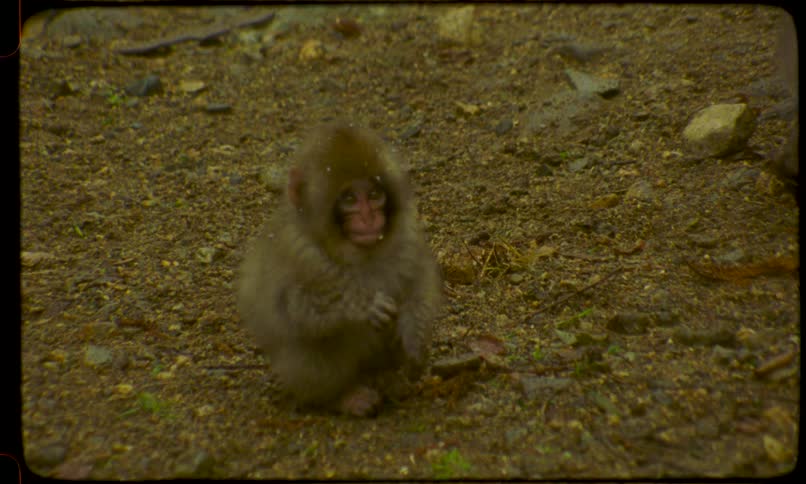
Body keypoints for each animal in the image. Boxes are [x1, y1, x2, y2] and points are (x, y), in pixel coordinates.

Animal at [236, 123, 443, 417]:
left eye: (374, 194)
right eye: (349, 198)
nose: (368, 217)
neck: (359, 255)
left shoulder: (408, 237)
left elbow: (420, 284)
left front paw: (414, 338)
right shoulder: (299, 252)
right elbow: (288, 307)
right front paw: (362, 305)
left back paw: (388, 379)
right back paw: (341, 397)